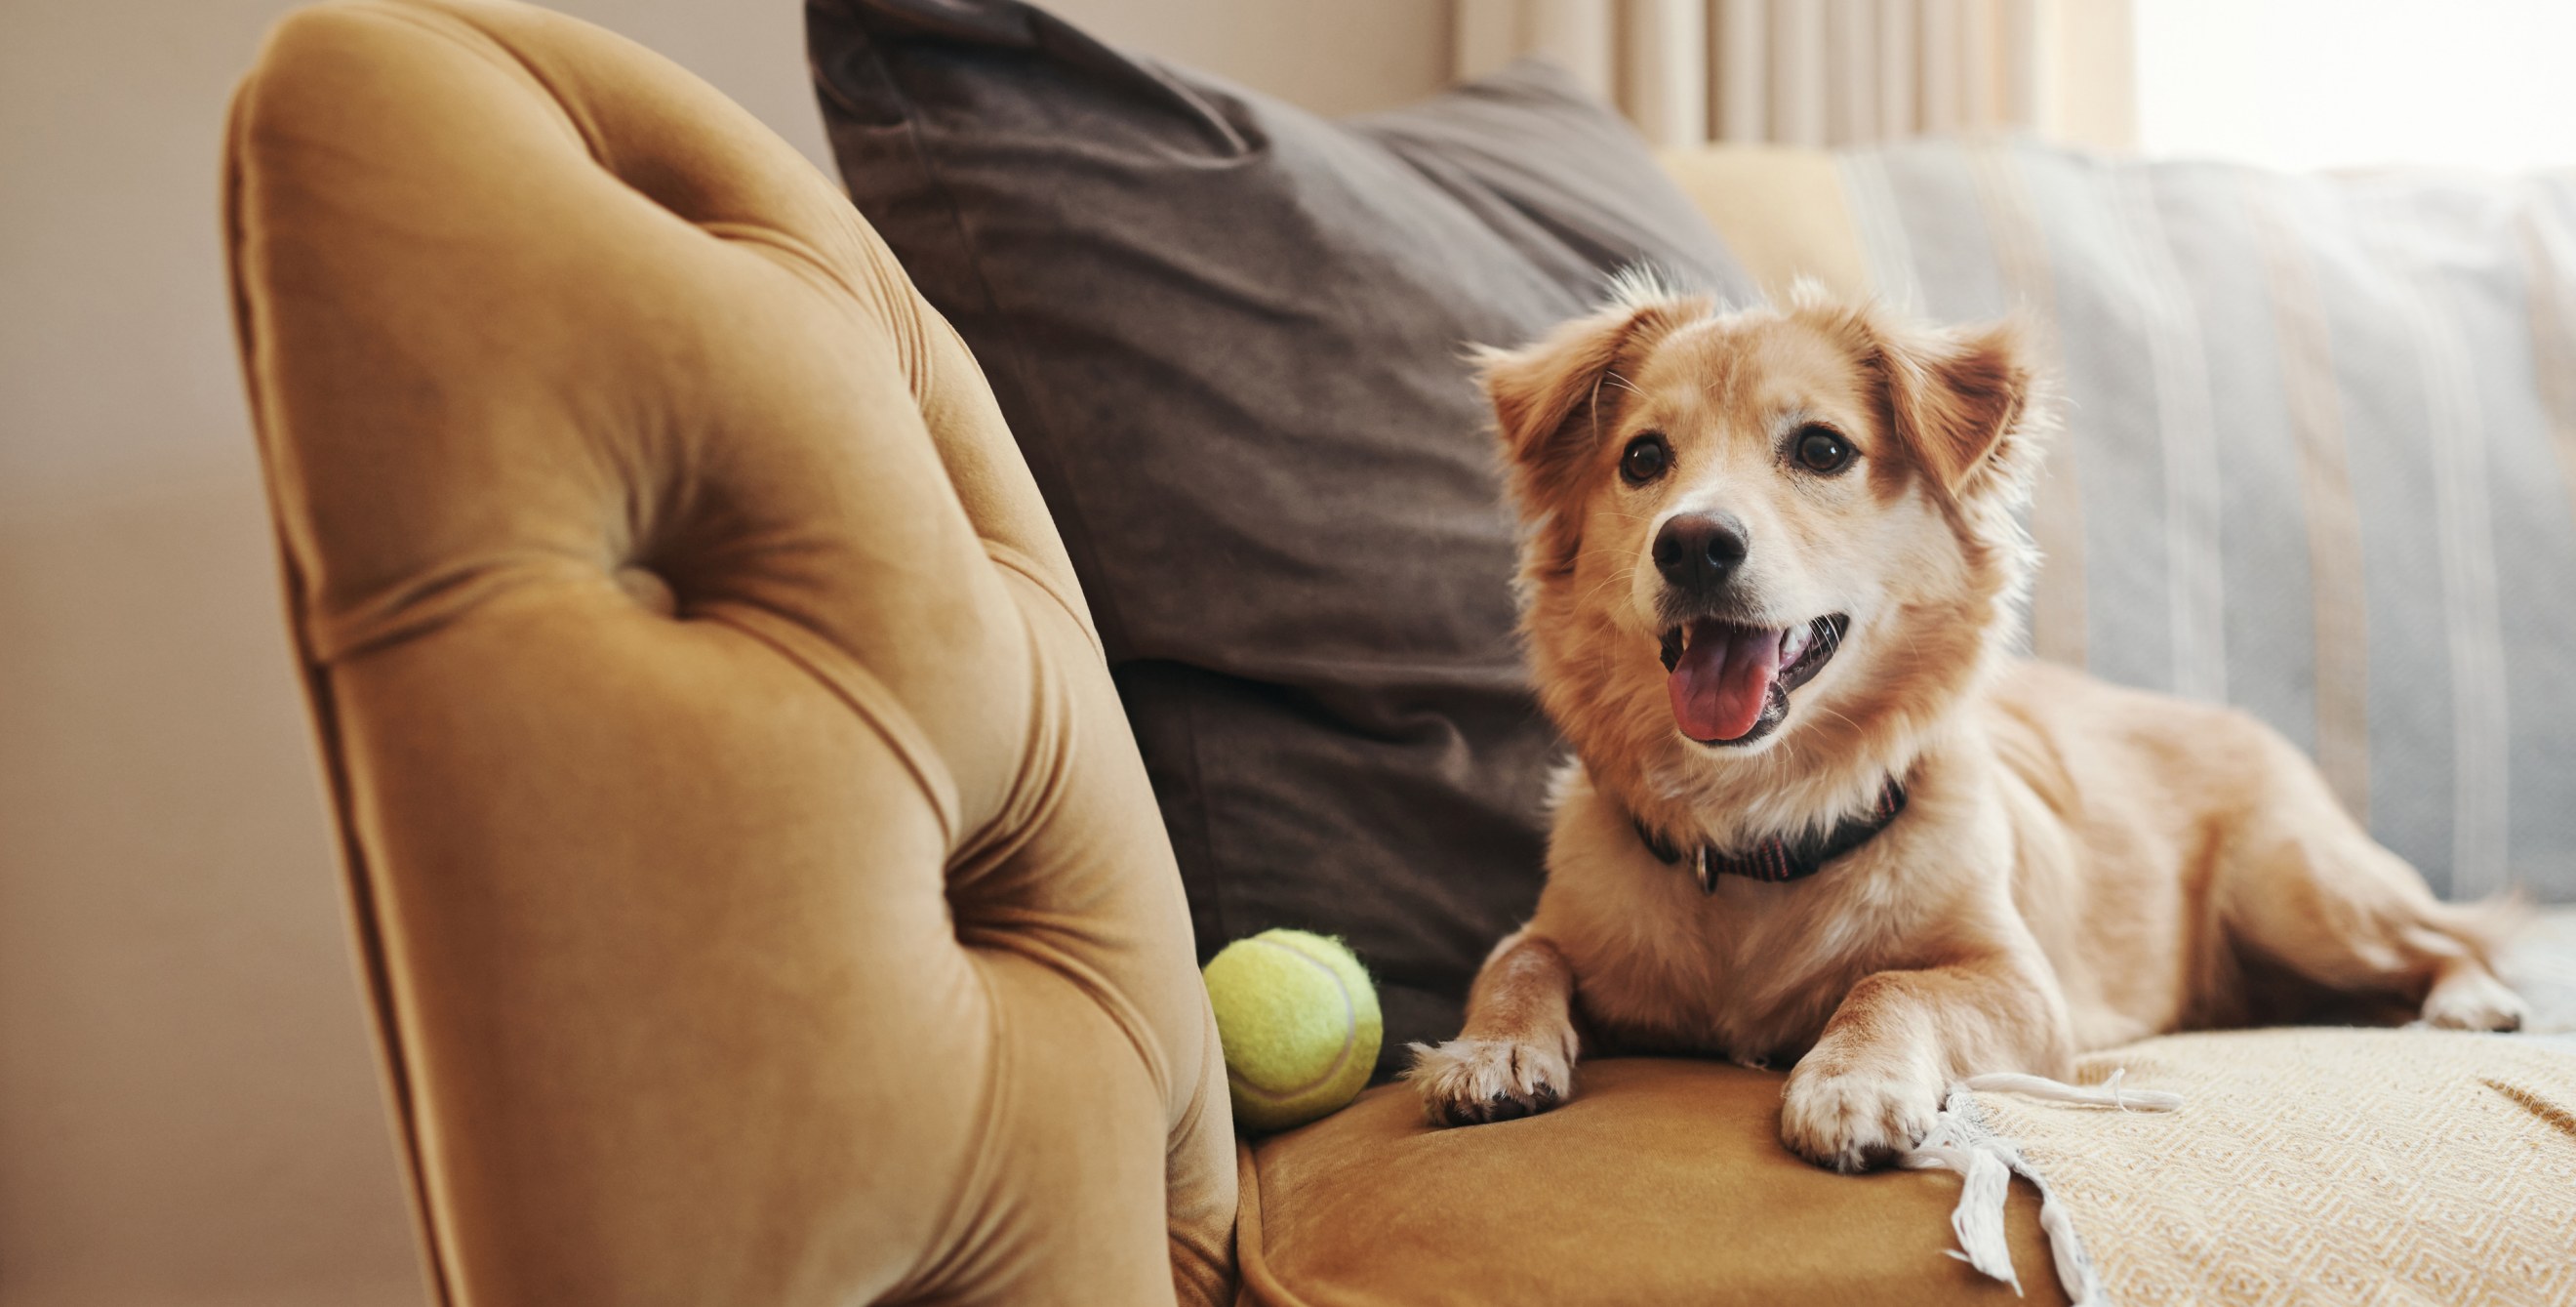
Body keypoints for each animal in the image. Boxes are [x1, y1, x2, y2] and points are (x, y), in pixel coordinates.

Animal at [1401, 278, 2524, 1175]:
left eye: (1821, 449)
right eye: (1643, 458)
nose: (1693, 543)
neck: (1760, 828)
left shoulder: (2023, 989)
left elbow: (1892, 982)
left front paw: (1849, 1082)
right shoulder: (1560, 929)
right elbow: (1518, 957)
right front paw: (1492, 1049)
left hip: (2296, 888)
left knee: (2445, 935)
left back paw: (2470, 1000)